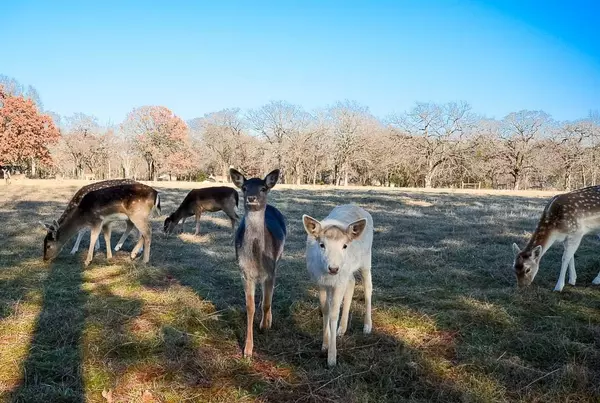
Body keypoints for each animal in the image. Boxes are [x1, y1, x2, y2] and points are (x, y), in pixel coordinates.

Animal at [229, 168, 288, 360]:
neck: (255, 259)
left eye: (263, 188)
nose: (252, 198)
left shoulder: (271, 271)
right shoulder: (244, 273)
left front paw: (264, 326)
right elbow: (250, 307)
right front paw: (247, 350)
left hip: (279, 258)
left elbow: (267, 303)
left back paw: (269, 319)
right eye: (244, 188)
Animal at [302, 204, 372, 368]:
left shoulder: (338, 283)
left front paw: (332, 358)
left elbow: (334, 313)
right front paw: (325, 344)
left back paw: (367, 326)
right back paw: (342, 329)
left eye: (345, 245)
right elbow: (325, 310)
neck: (328, 276)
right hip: (346, 272)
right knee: (352, 281)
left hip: (366, 259)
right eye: (322, 245)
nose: (333, 268)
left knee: (368, 287)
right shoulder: (320, 282)